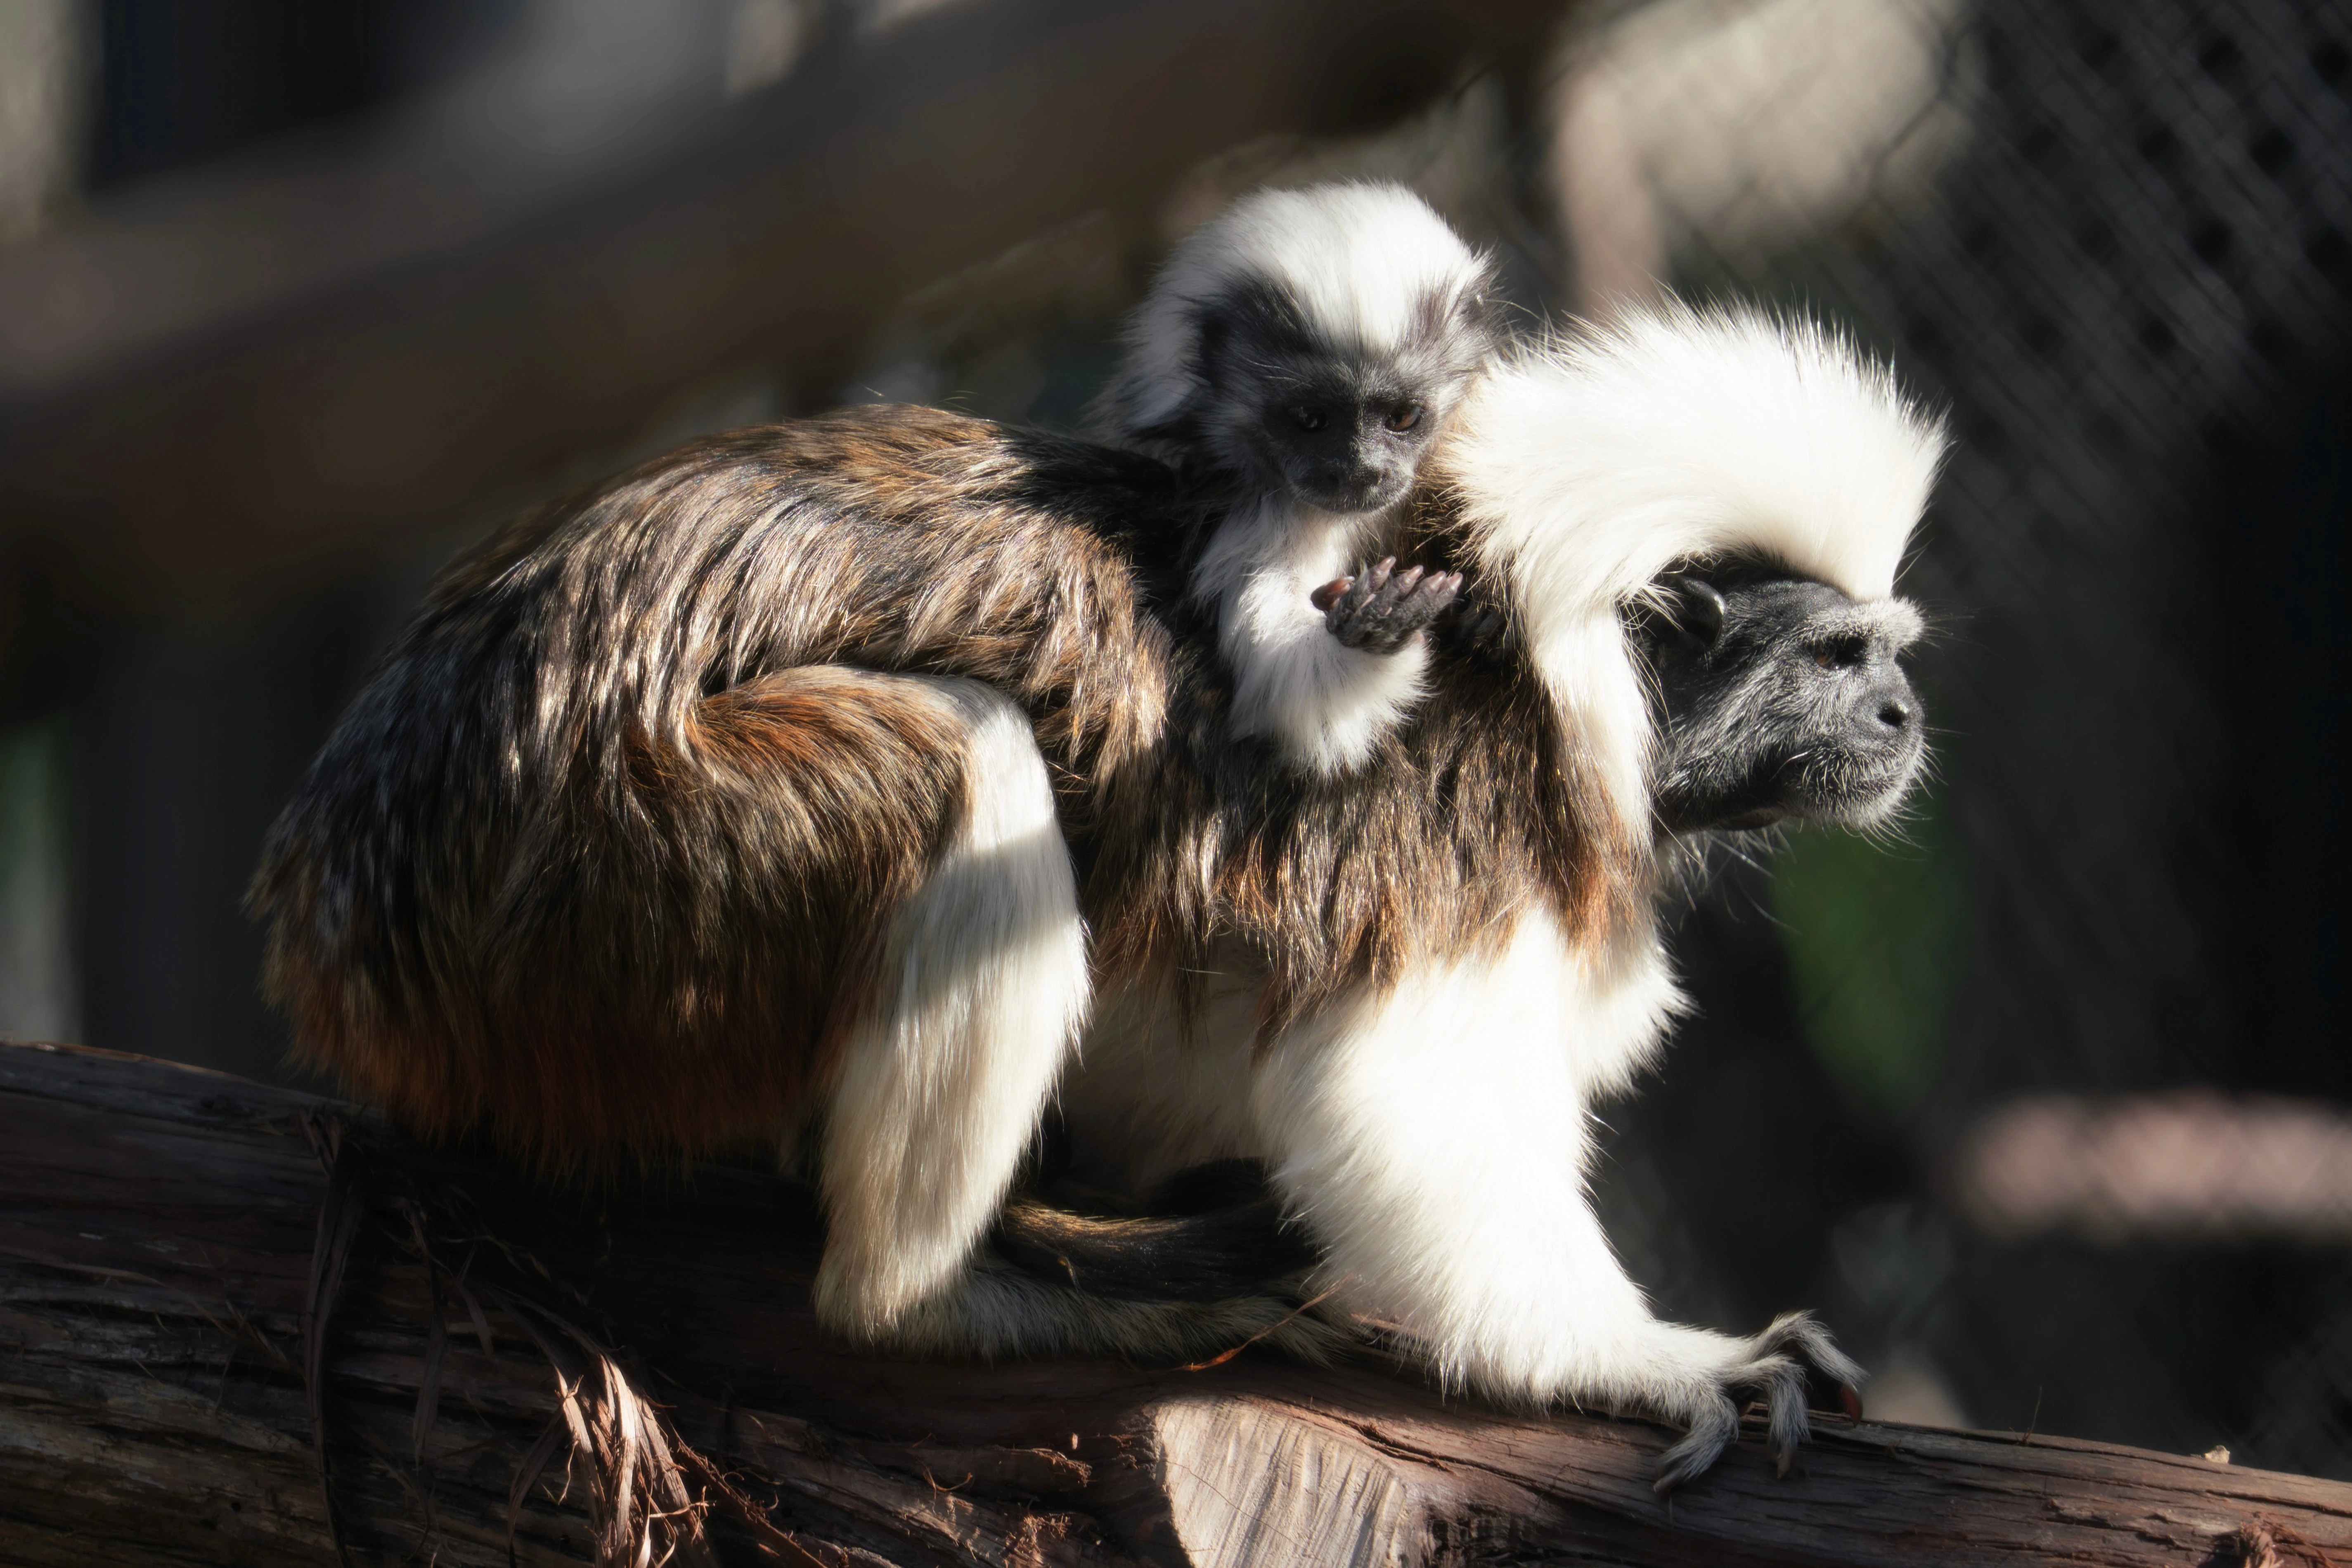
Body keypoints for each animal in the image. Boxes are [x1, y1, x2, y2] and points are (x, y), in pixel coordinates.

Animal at [250, 302, 1944, 1491]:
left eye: (1888, 652)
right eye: (1835, 656)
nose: (1903, 718)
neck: (1551, 665)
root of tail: (344, 893)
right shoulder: (1458, 824)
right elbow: (1396, 1100)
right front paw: (1652, 1358)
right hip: (607, 874)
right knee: (958, 754)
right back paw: (957, 1290)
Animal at [1093, 182, 1504, 774]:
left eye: (1402, 418)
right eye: (1310, 419)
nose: (1361, 471)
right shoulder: (1255, 506)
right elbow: (1301, 698)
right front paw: (1379, 625)